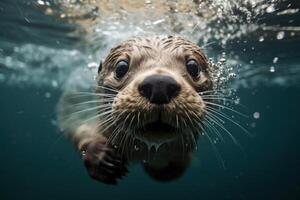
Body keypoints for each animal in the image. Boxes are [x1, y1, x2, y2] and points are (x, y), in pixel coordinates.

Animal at [58, 35, 213, 184]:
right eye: (121, 67)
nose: (159, 84)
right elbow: (74, 121)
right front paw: (101, 156)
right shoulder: (76, 97)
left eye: (193, 66)